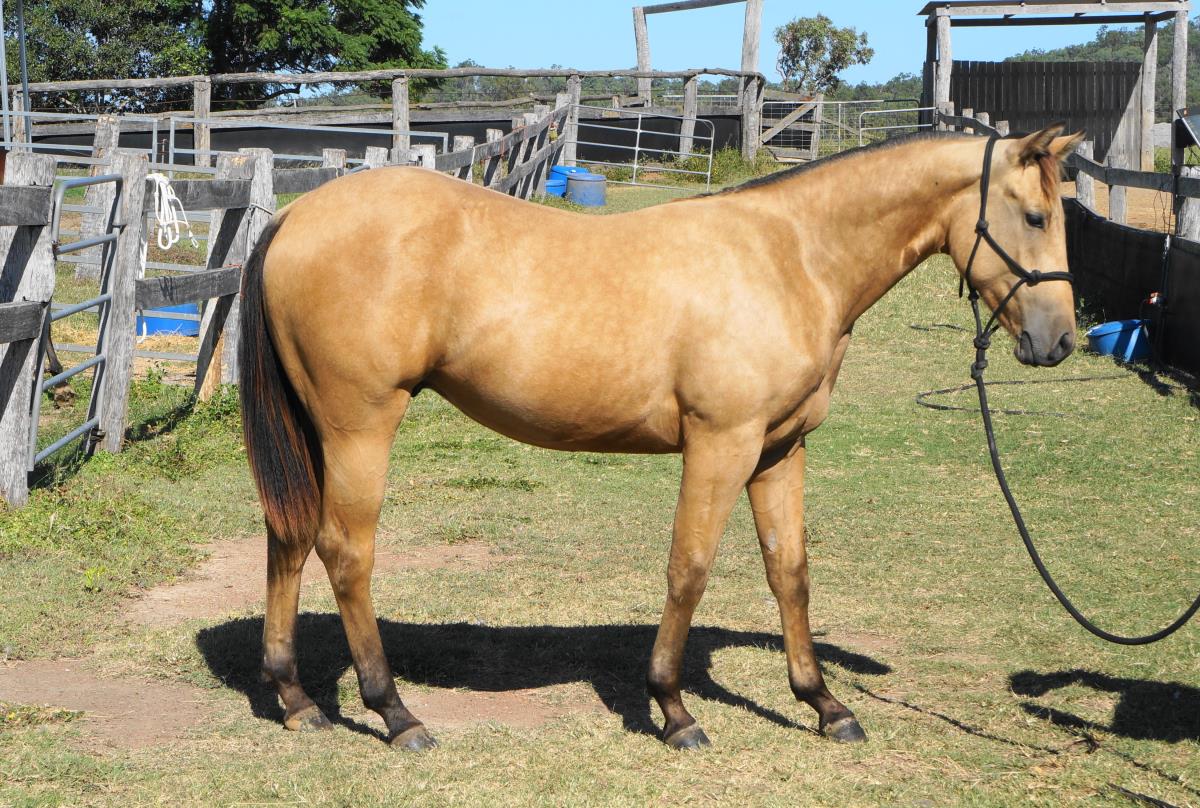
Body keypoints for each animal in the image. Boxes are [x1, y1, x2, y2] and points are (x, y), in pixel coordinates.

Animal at [237, 124, 1083, 751]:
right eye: (1035, 217)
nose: (1061, 341)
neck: (790, 257)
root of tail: (294, 217)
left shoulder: (778, 451)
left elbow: (789, 572)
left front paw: (824, 705)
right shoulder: (721, 444)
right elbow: (690, 569)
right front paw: (674, 711)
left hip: (315, 430)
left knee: (290, 537)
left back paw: (295, 698)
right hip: (359, 426)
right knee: (346, 553)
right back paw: (395, 713)